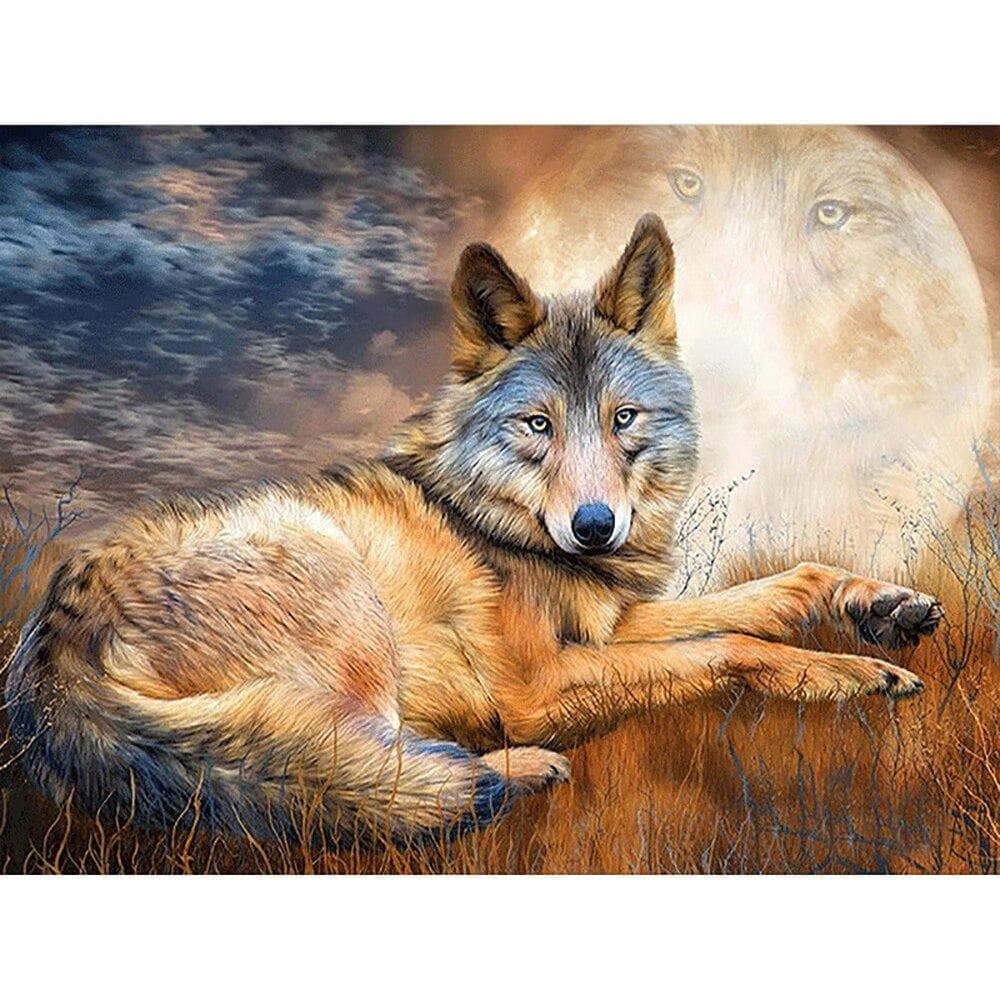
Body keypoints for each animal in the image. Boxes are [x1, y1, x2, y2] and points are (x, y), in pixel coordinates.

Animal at [5, 215, 942, 847]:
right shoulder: (537, 686)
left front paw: (883, 608)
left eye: (623, 418)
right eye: (537, 426)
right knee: (369, 776)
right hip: (348, 604)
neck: (492, 520)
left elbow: (782, 587)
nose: (594, 527)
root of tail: (49, 657)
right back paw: (517, 773)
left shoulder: (611, 624)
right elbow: (731, 646)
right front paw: (852, 672)